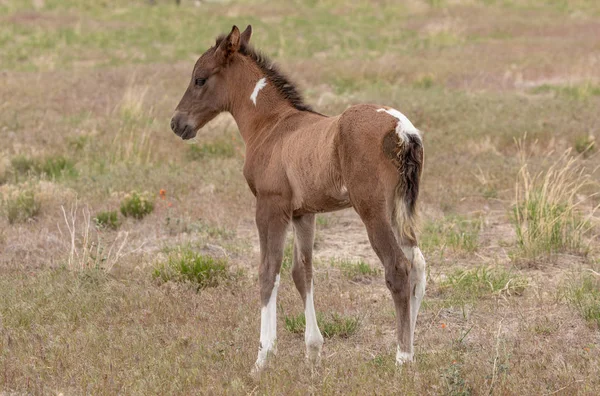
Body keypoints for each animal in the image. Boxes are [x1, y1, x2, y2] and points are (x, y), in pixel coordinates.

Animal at [171, 24, 428, 372]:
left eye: (200, 79)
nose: (177, 123)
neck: (271, 126)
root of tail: (402, 129)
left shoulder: (270, 206)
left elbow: (269, 271)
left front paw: (263, 357)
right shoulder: (303, 213)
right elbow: (302, 272)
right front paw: (313, 351)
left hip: (372, 209)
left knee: (398, 267)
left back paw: (402, 357)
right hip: (399, 209)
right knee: (418, 264)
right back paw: (411, 348)